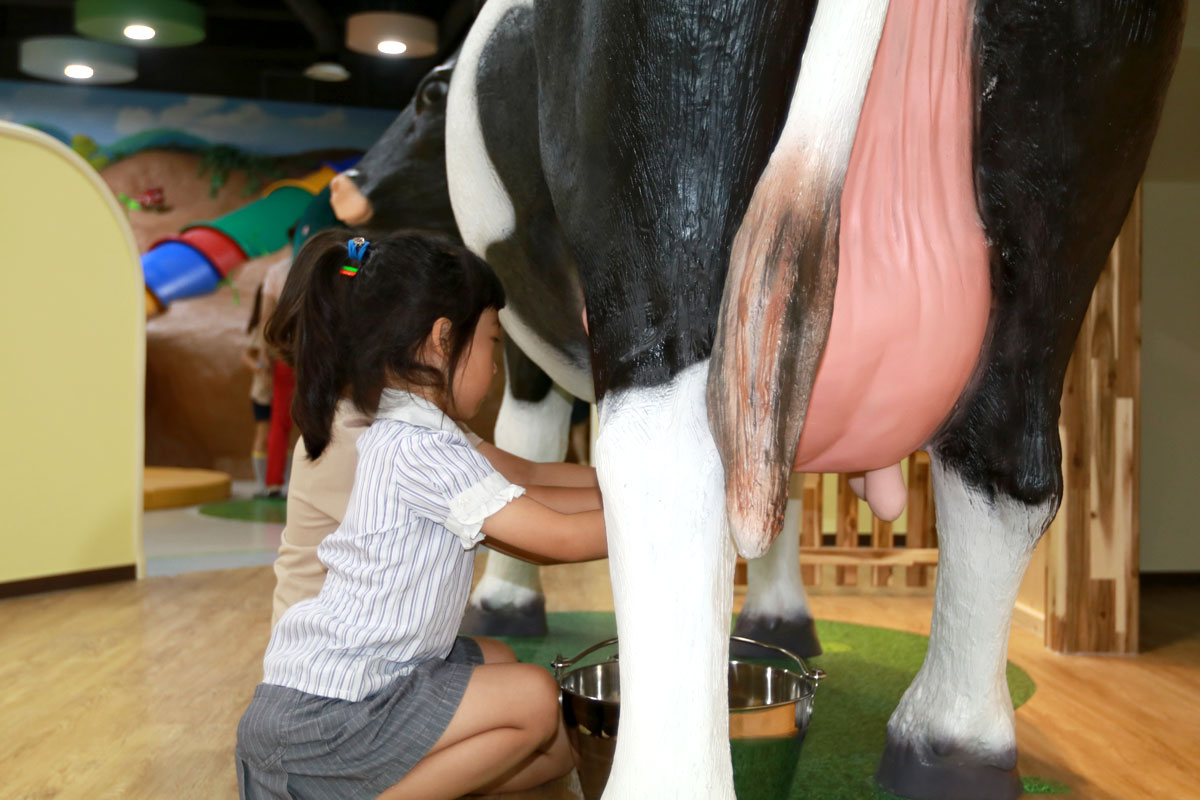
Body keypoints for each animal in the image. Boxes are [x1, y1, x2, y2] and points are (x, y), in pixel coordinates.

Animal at [446, 1, 1185, 800]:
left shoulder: (530, 356)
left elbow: (525, 440)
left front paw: (504, 603)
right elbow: (786, 486)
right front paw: (783, 621)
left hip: (668, 128)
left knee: (671, 454)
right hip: (1074, 171)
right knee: (1006, 466)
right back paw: (952, 746)